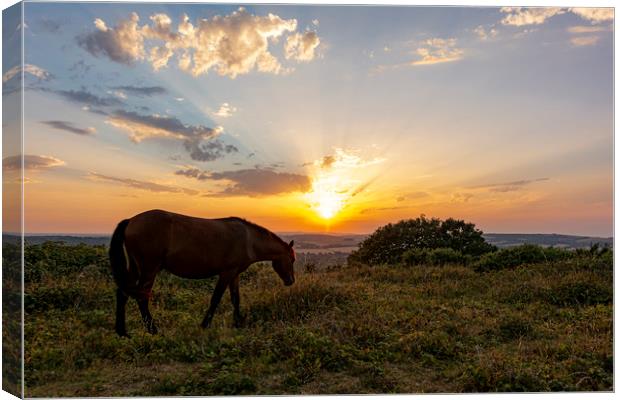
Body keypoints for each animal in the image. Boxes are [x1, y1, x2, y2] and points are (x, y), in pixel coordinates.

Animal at [108, 209, 296, 338]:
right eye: (292, 259)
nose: (291, 281)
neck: (248, 239)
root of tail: (131, 221)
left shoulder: (234, 274)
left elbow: (236, 299)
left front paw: (238, 322)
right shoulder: (226, 273)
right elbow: (216, 299)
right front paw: (205, 325)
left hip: (135, 269)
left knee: (123, 294)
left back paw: (122, 332)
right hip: (149, 270)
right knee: (142, 298)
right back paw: (152, 329)